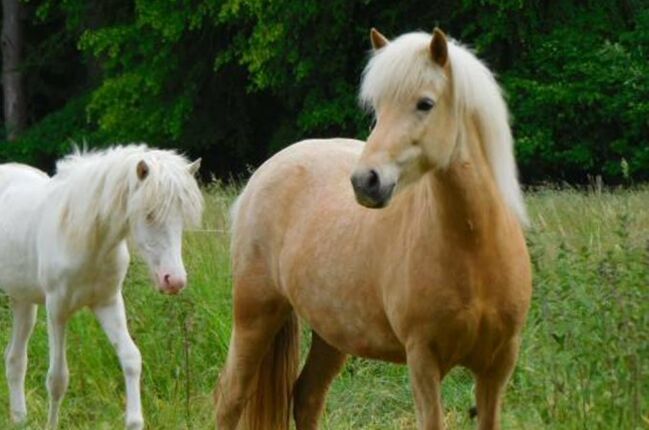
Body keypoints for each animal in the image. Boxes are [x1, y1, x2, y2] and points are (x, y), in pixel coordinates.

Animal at [0, 145, 203, 429]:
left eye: (181, 217)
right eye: (149, 214)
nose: (174, 280)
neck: (86, 236)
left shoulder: (107, 303)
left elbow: (131, 358)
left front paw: (134, 421)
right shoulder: (57, 310)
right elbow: (57, 379)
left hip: (23, 301)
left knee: (15, 359)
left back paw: (19, 420)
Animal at [215, 28, 532, 430]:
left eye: (425, 104)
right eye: (378, 109)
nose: (365, 182)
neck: (474, 246)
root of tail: (262, 174)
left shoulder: (498, 364)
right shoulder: (423, 359)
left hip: (331, 332)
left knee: (306, 396)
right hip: (254, 314)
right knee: (230, 399)